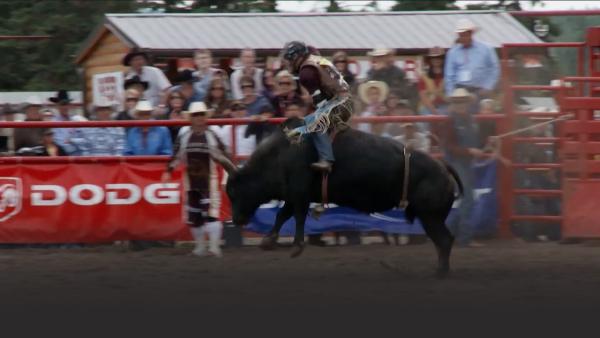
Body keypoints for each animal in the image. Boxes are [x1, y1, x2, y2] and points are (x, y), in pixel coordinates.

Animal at [216, 118, 464, 278]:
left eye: (234, 192)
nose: (236, 219)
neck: (281, 153)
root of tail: (443, 166)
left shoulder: (300, 192)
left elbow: (296, 215)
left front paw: (296, 246)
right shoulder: (293, 195)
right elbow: (282, 214)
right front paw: (269, 240)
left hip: (430, 216)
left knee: (444, 240)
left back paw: (440, 272)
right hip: (431, 217)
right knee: (446, 240)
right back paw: (442, 270)